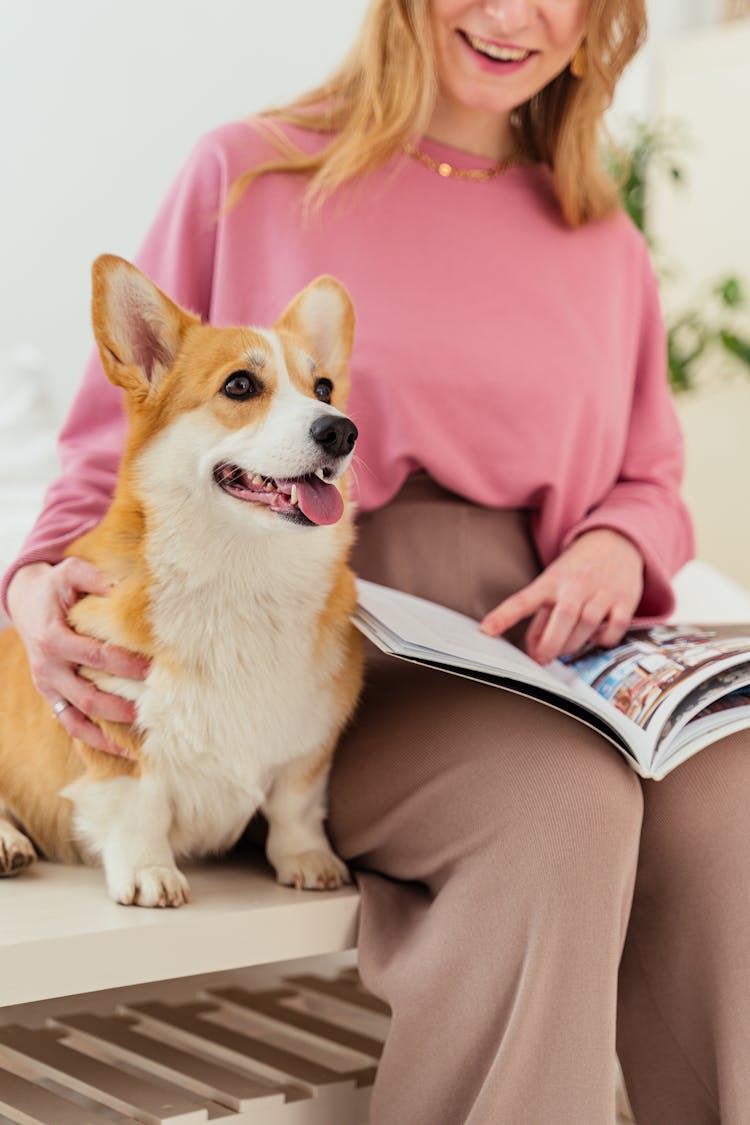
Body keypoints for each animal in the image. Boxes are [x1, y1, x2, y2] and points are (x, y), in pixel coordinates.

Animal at [0, 253, 364, 904]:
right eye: (240, 385)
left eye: (322, 388)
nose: (342, 431)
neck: (243, 574)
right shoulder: (115, 736)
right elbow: (137, 806)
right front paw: (149, 873)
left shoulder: (311, 743)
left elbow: (296, 805)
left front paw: (307, 860)